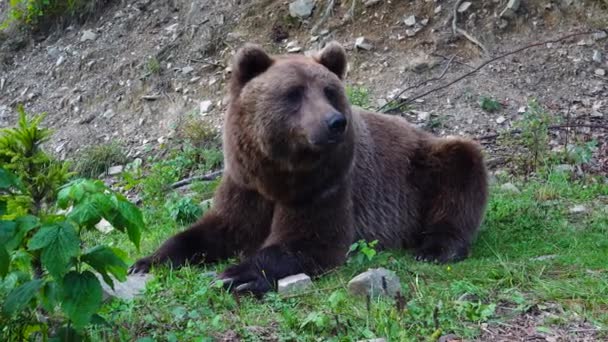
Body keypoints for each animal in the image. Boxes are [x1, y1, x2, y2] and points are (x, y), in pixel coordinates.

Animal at [129, 41, 490, 296]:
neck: (278, 173)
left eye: (329, 91)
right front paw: (146, 261)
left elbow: (309, 241)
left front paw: (238, 275)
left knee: (460, 167)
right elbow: (217, 228)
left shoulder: (326, 185)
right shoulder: (246, 185)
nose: (335, 122)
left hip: (421, 168)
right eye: (294, 93)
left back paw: (436, 248)